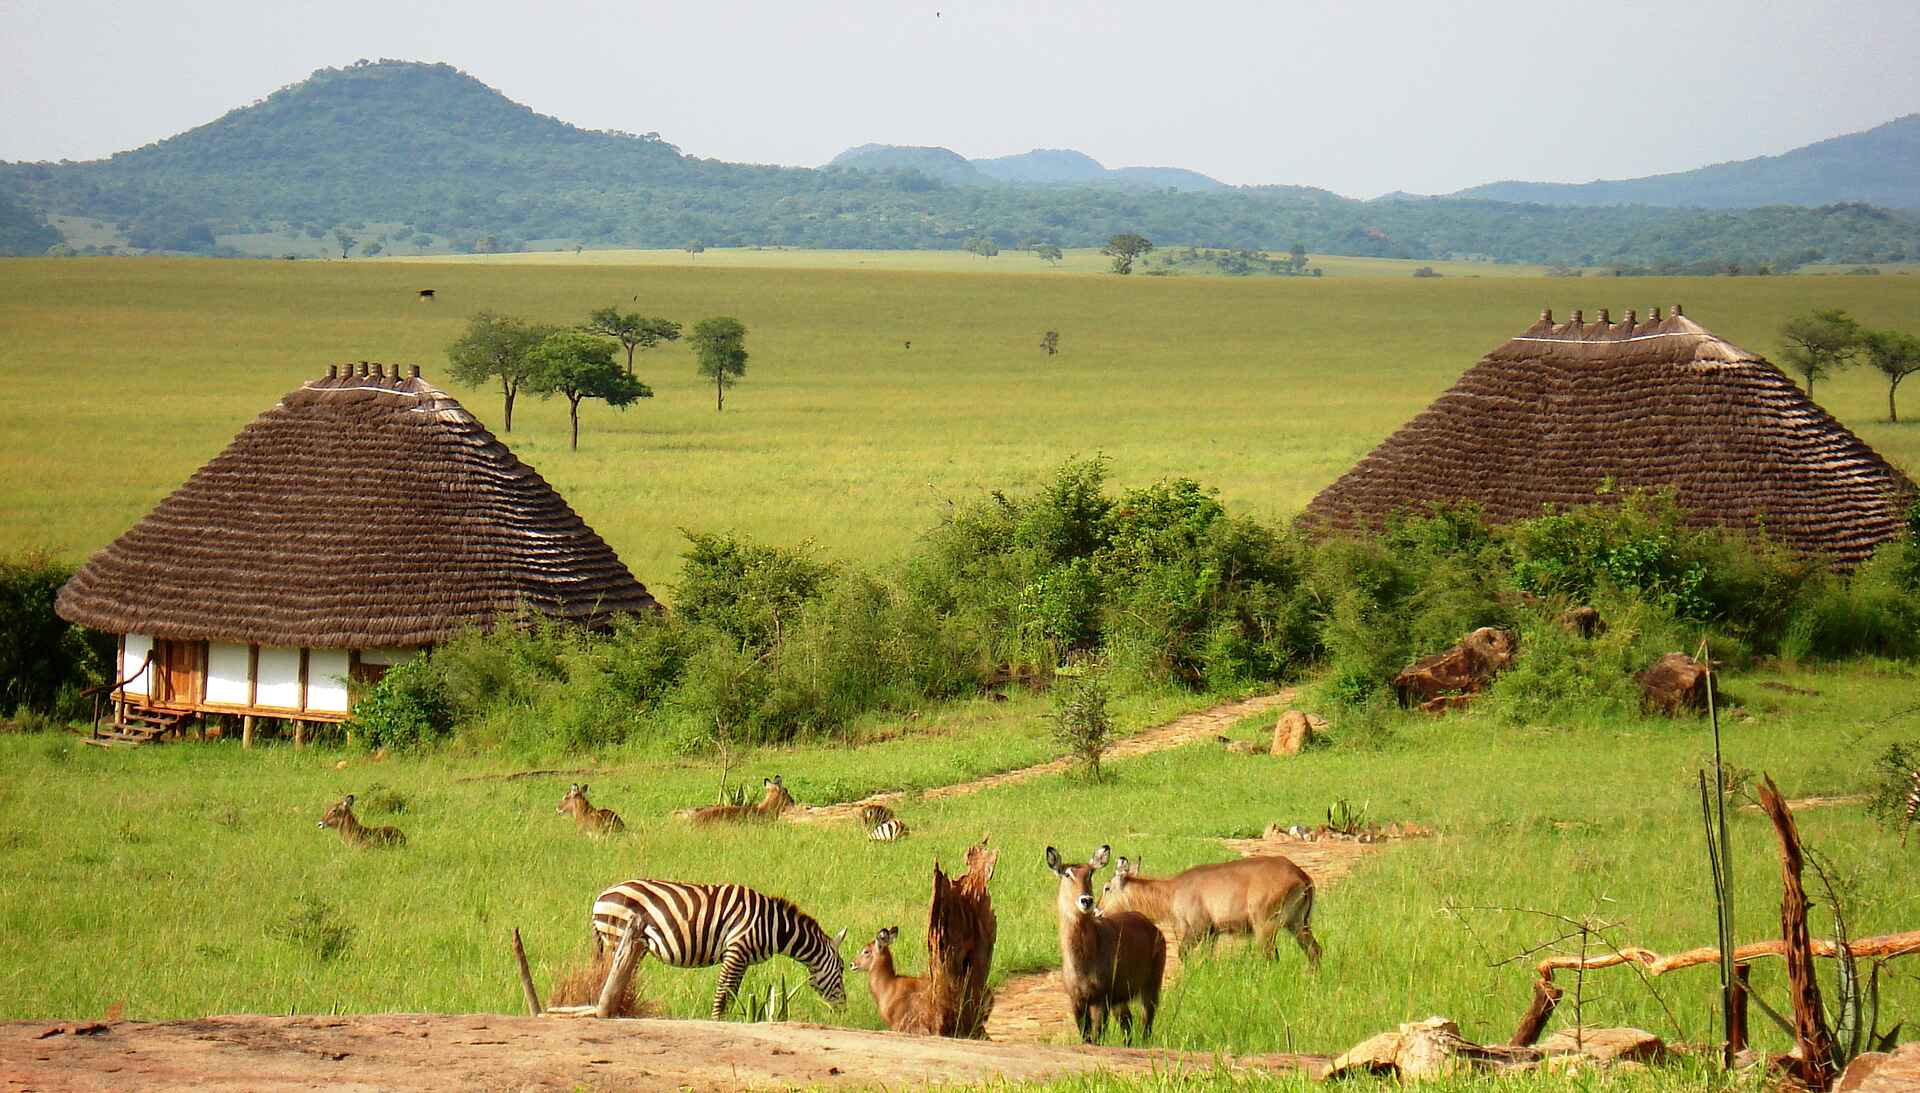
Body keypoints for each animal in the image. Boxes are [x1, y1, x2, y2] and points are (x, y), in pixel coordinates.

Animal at [590, 879, 847, 1018]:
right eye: (842, 968)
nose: (844, 1009)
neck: (773, 925)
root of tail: (601, 896)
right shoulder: (736, 950)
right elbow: (723, 991)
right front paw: (718, 1019)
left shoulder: (743, 959)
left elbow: (732, 992)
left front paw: (731, 1017)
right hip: (618, 937)